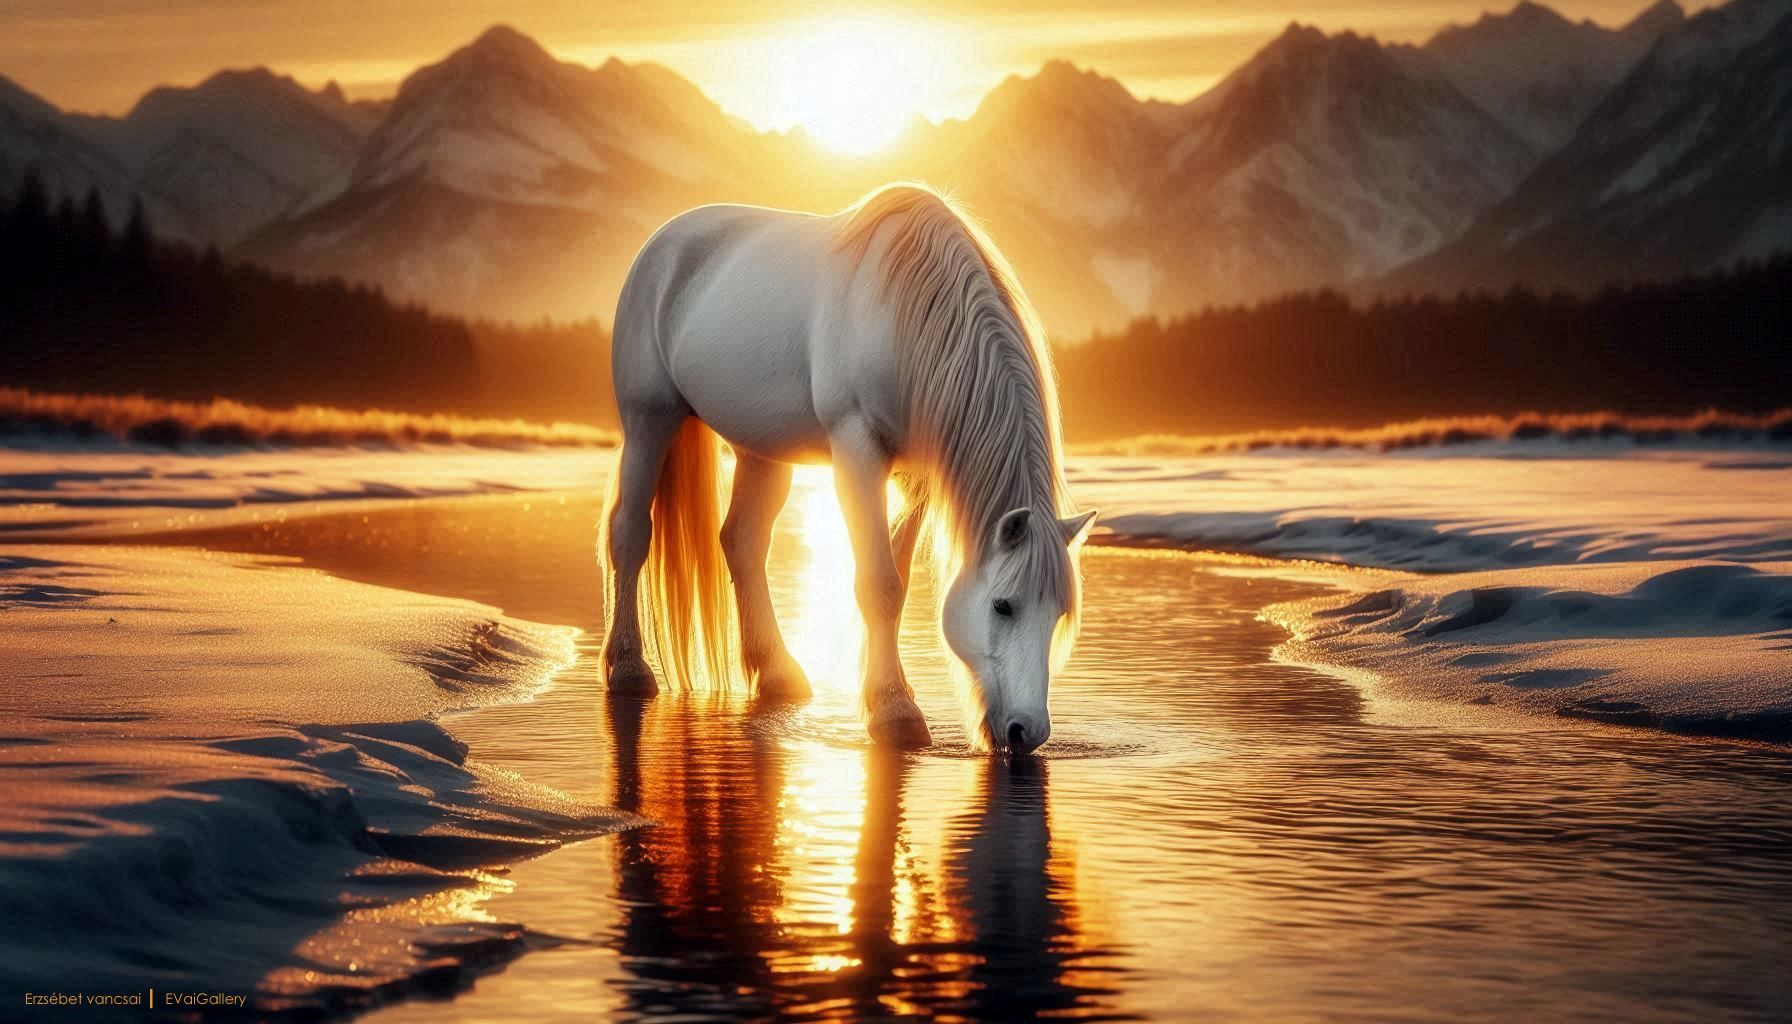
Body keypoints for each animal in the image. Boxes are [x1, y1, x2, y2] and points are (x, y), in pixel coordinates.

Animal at [600, 183, 1096, 753]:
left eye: (1058, 613)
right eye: (1002, 606)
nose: (1026, 731)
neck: (907, 311)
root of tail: (662, 243)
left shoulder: (917, 475)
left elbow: (895, 576)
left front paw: (885, 691)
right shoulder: (857, 448)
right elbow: (879, 583)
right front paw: (895, 711)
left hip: (761, 449)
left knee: (742, 542)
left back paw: (776, 672)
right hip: (649, 418)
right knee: (630, 533)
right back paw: (628, 669)